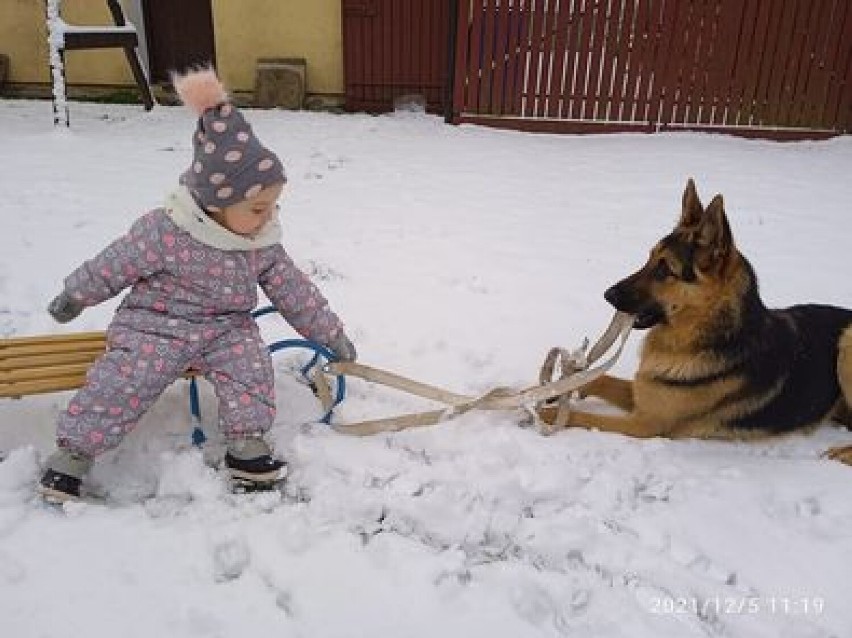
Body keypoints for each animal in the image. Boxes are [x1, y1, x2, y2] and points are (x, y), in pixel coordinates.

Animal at [540, 180, 852, 464]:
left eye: (665, 269)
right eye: (649, 258)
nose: (607, 295)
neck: (702, 337)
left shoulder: (645, 424)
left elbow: (579, 416)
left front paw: (542, 413)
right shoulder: (644, 395)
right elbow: (598, 379)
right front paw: (554, 390)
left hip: (846, 343)